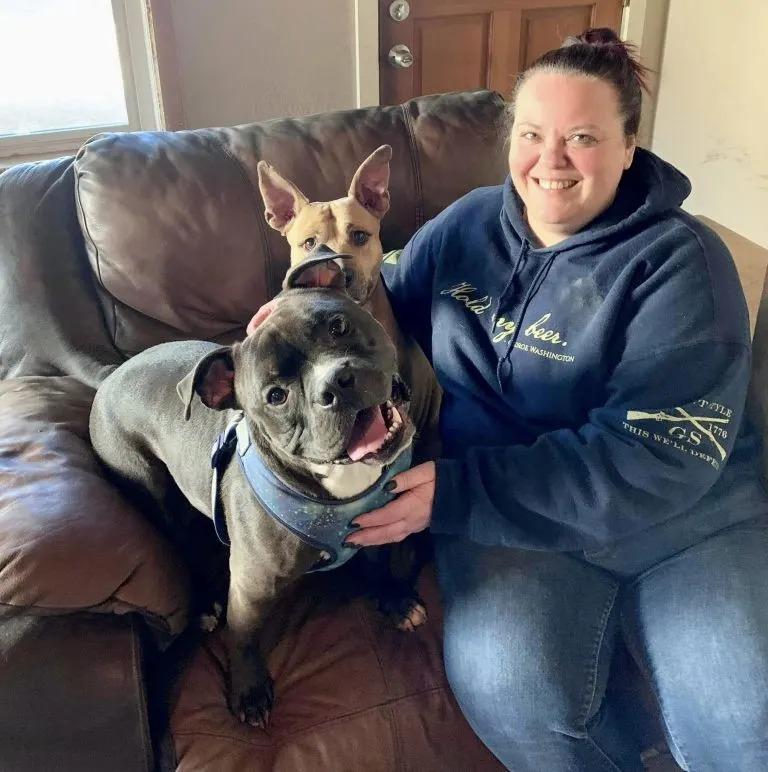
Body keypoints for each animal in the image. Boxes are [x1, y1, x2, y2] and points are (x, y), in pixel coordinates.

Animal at [93, 262, 426, 728]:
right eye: (276, 396)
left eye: (338, 326)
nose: (336, 384)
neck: (340, 488)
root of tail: (108, 378)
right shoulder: (251, 584)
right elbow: (244, 633)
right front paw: (248, 689)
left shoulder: (380, 522)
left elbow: (381, 561)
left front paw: (394, 598)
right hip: (152, 490)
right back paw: (203, 605)